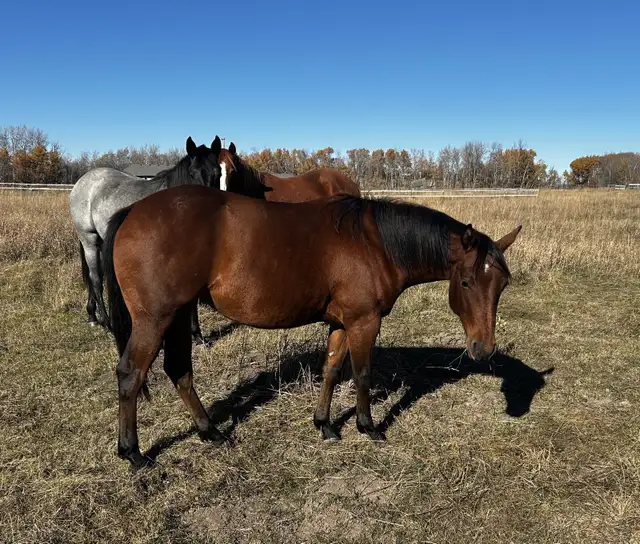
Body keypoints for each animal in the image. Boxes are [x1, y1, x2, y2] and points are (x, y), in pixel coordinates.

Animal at [69, 136, 222, 337]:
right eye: (192, 173)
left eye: (218, 173)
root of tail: (83, 181)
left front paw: (196, 334)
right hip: (89, 240)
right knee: (95, 278)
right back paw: (107, 323)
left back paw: (92, 316)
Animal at [103, 185, 521, 470]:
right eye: (466, 282)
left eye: (503, 284)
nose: (484, 349)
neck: (375, 243)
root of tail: (132, 210)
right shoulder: (364, 321)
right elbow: (362, 374)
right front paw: (368, 427)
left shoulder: (342, 322)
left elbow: (332, 370)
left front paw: (325, 425)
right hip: (156, 319)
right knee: (131, 375)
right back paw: (133, 453)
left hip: (178, 316)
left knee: (179, 371)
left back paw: (211, 432)